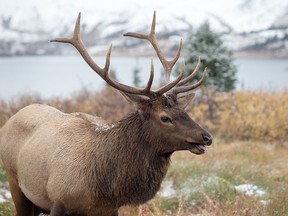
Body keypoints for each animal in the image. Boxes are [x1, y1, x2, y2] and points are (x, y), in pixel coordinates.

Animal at [0, 12, 212, 216]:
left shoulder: (110, 210)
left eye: (184, 111)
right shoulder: (57, 201)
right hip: (14, 180)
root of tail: (9, 121)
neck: (102, 188)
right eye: (165, 117)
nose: (207, 137)